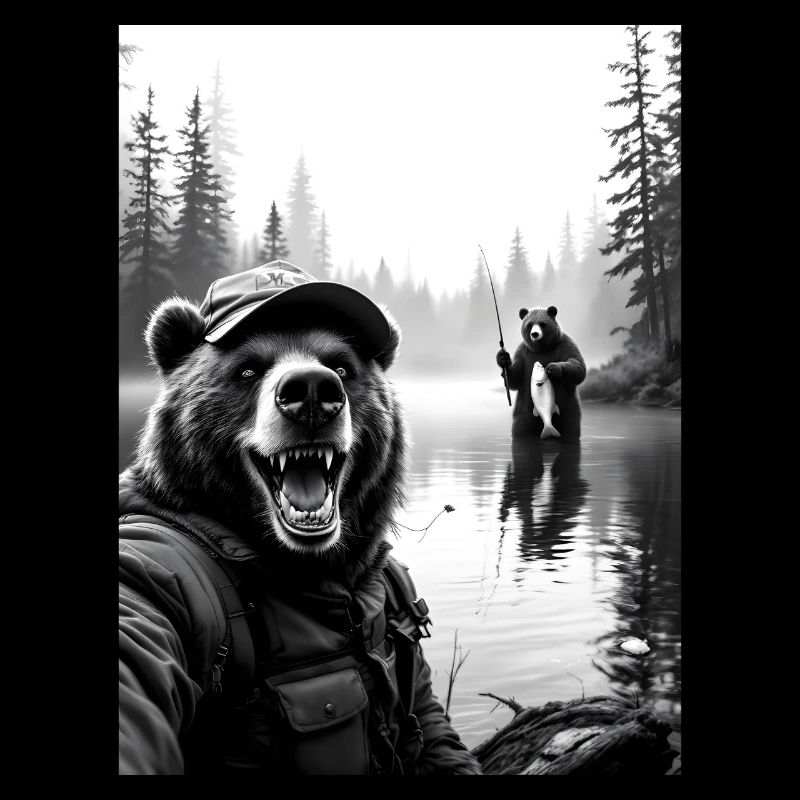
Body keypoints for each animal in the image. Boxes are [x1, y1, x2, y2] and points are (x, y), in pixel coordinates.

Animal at [496, 305, 586, 440]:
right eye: (529, 324)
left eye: (543, 324)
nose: (535, 334)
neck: (541, 348)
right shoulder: (523, 352)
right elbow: (515, 377)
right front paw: (503, 358)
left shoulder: (565, 344)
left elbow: (577, 366)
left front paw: (553, 368)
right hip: (523, 415)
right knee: (520, 430)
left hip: (569, 411)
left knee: (571, 429)